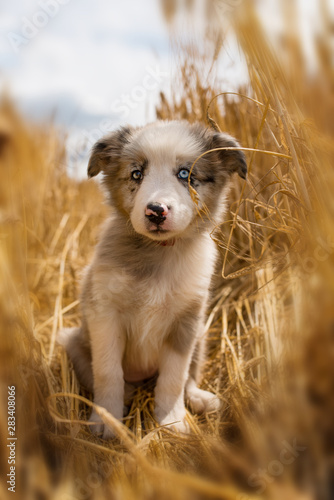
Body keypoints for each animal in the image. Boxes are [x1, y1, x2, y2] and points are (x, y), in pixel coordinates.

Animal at [60, 120, 245, 438]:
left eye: (185, 174)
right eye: (137, 174)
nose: (156, 211)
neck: (159, 253)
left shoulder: (186, 321)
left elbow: (174, 376)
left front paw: (171, 420)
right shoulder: (104, 314)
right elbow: (108, 372)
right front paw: (107, 421)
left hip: (201, 336)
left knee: (189, 377)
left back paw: (200, 398)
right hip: (73, 342)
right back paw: (126, 395)